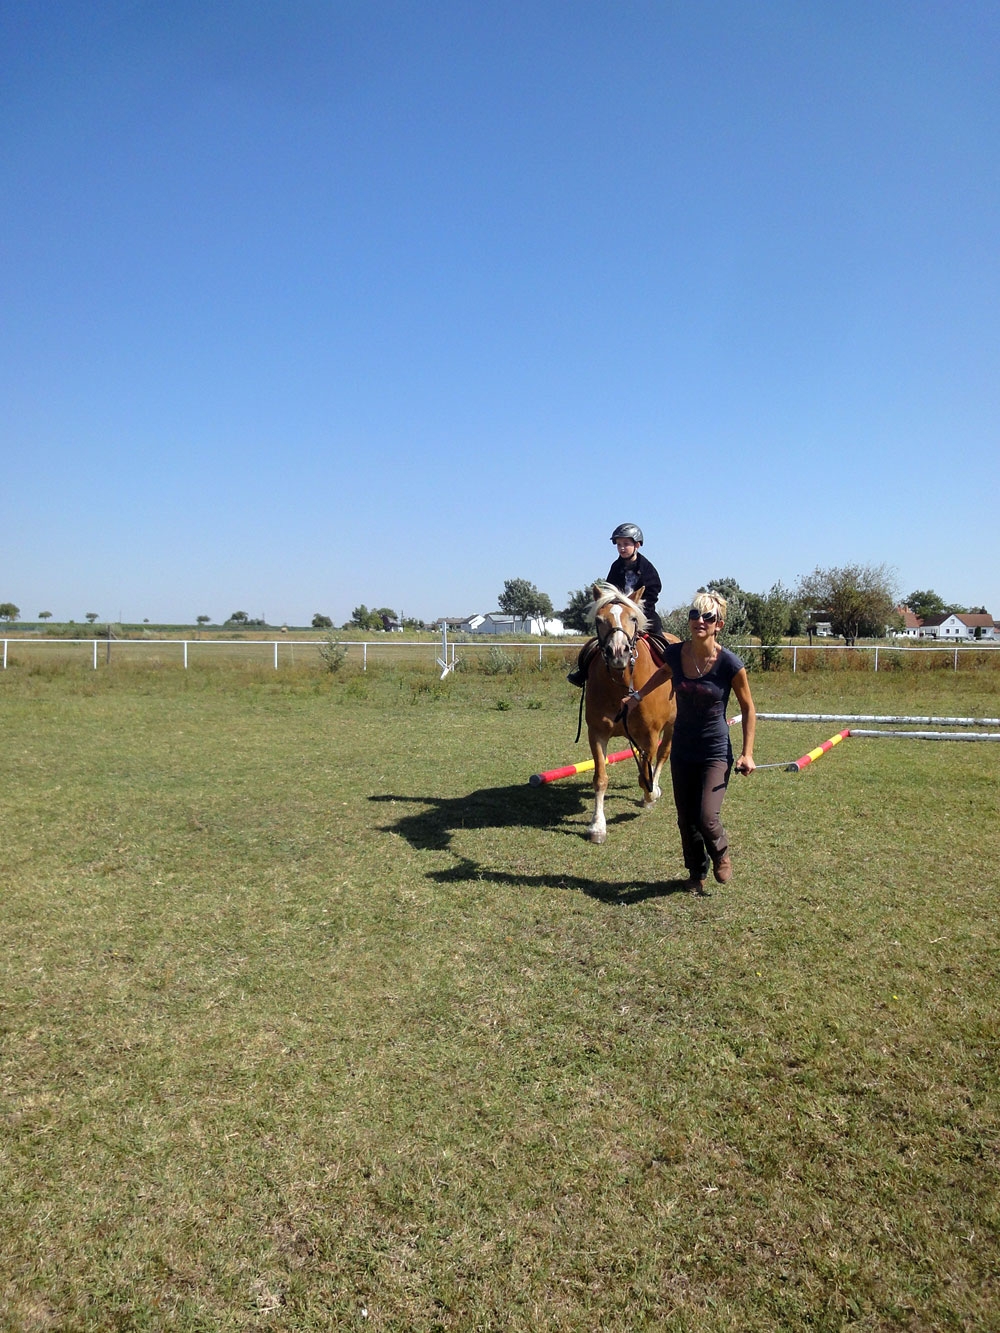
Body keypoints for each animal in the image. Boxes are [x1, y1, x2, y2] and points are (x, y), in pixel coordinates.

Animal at [584, 583, 677, 842]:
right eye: (599, 620)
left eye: (633, 618)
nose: (618, 652)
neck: (622, 683)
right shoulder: (597, 733)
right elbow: (600, 779)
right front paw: (597, 826)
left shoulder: (651, 735)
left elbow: (646, 773)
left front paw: (651, 795)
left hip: (671, 726)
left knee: (663, 755)